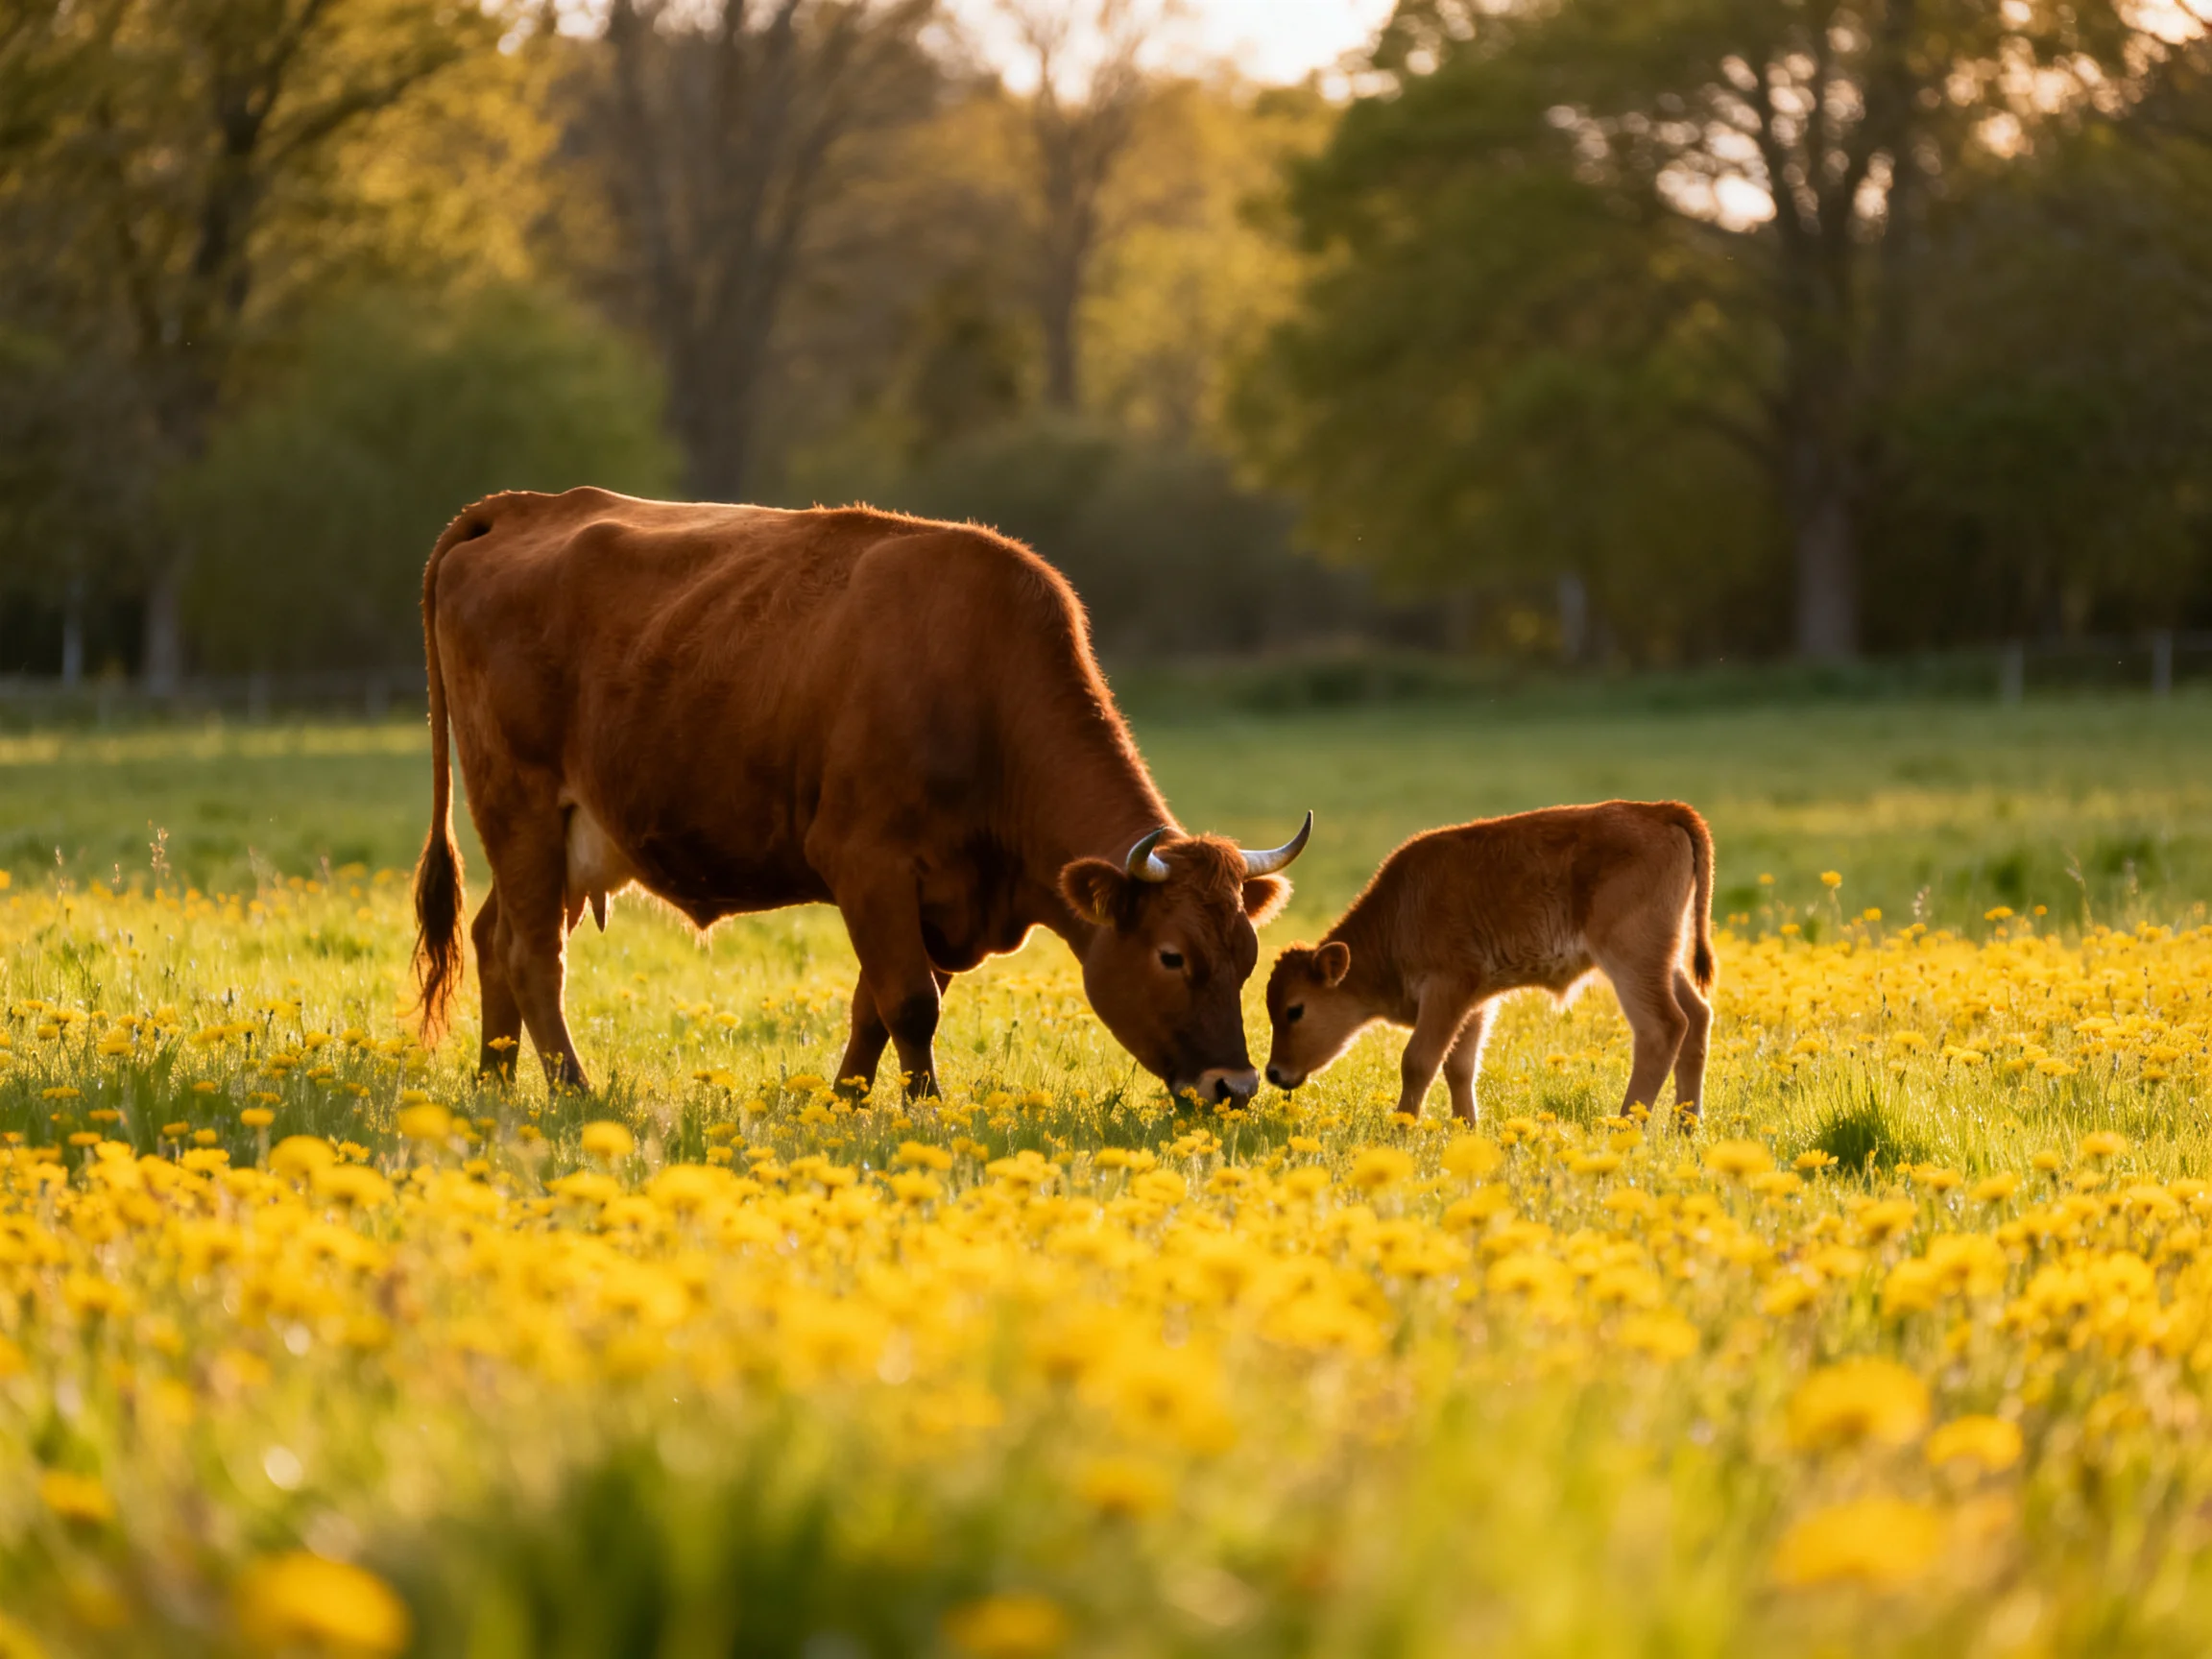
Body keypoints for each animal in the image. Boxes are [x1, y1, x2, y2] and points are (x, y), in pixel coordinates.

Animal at [410, 488, 1311, 1104]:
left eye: (1247, 956)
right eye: (1172, 956)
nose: (1234, 1086)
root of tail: (524, 507)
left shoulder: (940, 901)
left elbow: (872, 1009)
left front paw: (844, 1106)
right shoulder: (867, 862)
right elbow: (910, 1005)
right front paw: (928, 1109)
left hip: (571, 838)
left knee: (493, 938)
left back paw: (494, 1084)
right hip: (517, 803)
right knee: (533, 956)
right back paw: (572, 1091)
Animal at [1261, 801, 1714, 1123]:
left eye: (1295, 1009)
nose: (1274, 1073)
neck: (1398, 914)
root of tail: (1660, 811)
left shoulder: (1446, 990)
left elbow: (1418, 1061)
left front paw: (1401, 1127)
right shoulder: (1475, 1004)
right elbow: (1460, 1067)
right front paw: (1467, 1129)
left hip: (1630, 960)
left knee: (1662, 1028)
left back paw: (1627, 1125)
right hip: (1666, 961)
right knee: (1697, 1016)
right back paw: (1685, 1127)